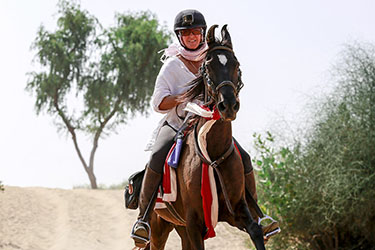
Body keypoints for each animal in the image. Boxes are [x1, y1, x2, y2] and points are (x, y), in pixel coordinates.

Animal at [147, 24, 264, 249]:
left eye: (236, 64)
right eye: (208, 66)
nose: (228, 105)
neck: (213, 155)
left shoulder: (237, 210)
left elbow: (256, 231)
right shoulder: (194, 223)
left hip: (181, 227)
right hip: (158, 227)